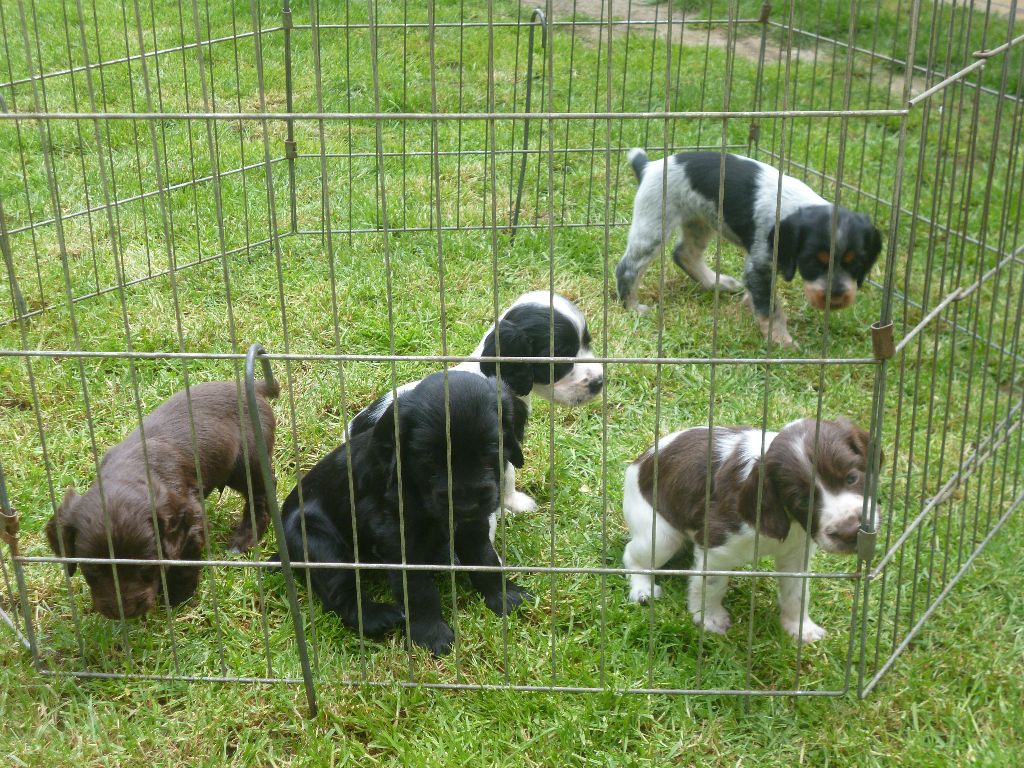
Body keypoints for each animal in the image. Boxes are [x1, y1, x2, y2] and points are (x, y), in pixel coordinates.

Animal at [46, 382, 278, 622]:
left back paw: (242, 540)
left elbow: (182, 566)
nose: (124, 612)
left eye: (145, 569)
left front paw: (176, 598)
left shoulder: (190, 523)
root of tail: (248, 386)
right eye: (92, 572)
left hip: (246, 462)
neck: (132, 468)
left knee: (261, 496)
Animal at [282, 370, 532, 655]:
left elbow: (484, 558)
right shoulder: (397, 538)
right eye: (430, 458)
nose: (465, 504)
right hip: (318, 543)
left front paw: (505, 596)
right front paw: (432, 635)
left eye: (491, 451)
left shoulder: (473, 523)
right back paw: (380, 617)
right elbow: (418, 588)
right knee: (341, 592)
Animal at [614, 151, 880, 348]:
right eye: (813, 262)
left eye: (856, 264)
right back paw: (633, 307)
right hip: (654, 226)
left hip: (701, 221)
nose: (836, 298)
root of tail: (649, 166)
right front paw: (781, 341)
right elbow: (770, 310)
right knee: (627, 268)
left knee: (684, 253)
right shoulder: (759, 266)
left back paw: (717, 282)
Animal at [622, 417, 880, 647]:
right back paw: (643, 589)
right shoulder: (716, 543)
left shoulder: (796, 553)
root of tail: (639, 463)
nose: (850, 532)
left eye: (852, 478)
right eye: (803, 500)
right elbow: (711, 584)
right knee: (633, 556)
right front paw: (710, 619)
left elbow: (797, 593)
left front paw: (800, 628)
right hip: (660, 536)